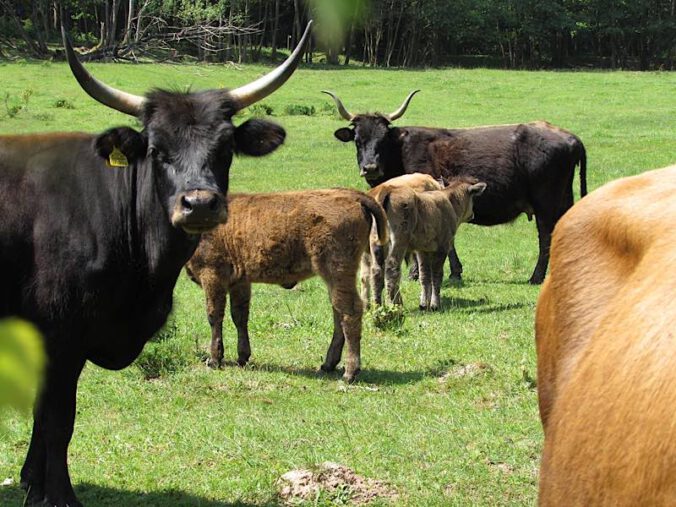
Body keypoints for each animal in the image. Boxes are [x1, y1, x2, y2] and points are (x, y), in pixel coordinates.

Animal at [0, 23, 312, 507]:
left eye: (225, 147)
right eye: (156, 149)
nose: (199, 203)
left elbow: (42, 412)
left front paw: (32, 480)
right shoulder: (62, 333)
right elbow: (58, 420)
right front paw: (60, 494)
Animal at [185, 189, 386, 382]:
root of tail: (352, 195)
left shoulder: (212, 276)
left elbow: (214, 316)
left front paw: (214, 359)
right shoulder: (239, 282)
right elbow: (240, 317)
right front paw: (242, 357)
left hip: (337, 272)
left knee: (349, 312)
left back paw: (350, 372)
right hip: (334, 279)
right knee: (338, 313)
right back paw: (328, 365)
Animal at [326, 91, 588, 286]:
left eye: (382, 139)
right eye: (358, 140)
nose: (370, 167)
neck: (400, 151)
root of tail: (571, 138)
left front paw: (418, 273)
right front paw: (453, 271)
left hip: (546, 203)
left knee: (545, 236)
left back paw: (536, 277)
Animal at [364, 177, 486, 312]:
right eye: (473, 198)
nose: (472, 214)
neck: (449, 203)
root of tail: (386, 191)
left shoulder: (423, 250)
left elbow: (424, 275)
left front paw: (423, 304)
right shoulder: (442, 247)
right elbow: (436, 275)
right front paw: (435, 304)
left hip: (376, 243)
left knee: (376, 271)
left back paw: (377, 307)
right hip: (399, 241)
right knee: (391, 269)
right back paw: (394, 306)